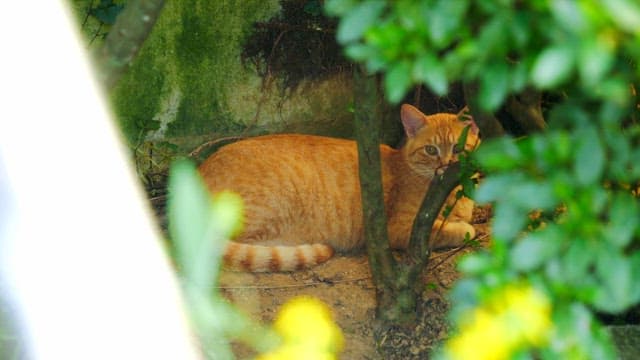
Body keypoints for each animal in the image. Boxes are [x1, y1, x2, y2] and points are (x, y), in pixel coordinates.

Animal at [200, 105, 480, 272]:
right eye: (431, 150)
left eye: (458, 147)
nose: (447, 165)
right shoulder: (400, 229)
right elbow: (453, 230)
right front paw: (463, 228)